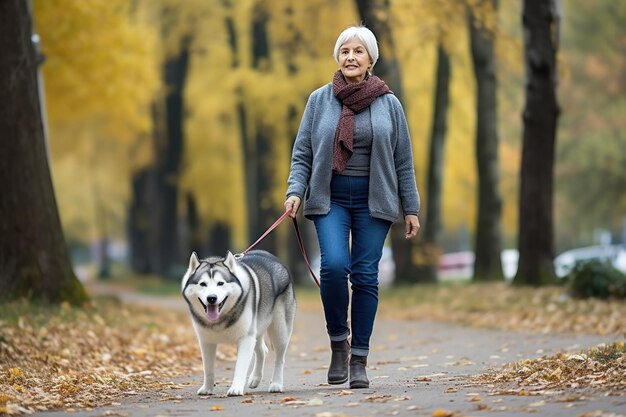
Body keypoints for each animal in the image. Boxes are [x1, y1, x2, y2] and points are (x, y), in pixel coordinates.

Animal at [182, 249, 296, 394]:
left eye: (220, 283)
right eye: (203, 284)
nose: (211, 298)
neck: (221, 319)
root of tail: (274, 258)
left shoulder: (246, 338)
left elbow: (240, 367)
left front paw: (235, 388)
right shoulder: (206, 341)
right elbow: (208, 369)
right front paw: (207, 388)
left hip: (279, 330)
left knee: (280, 358)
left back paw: (276, 384)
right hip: (257, 327)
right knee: (262, 350)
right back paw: (255, 378)